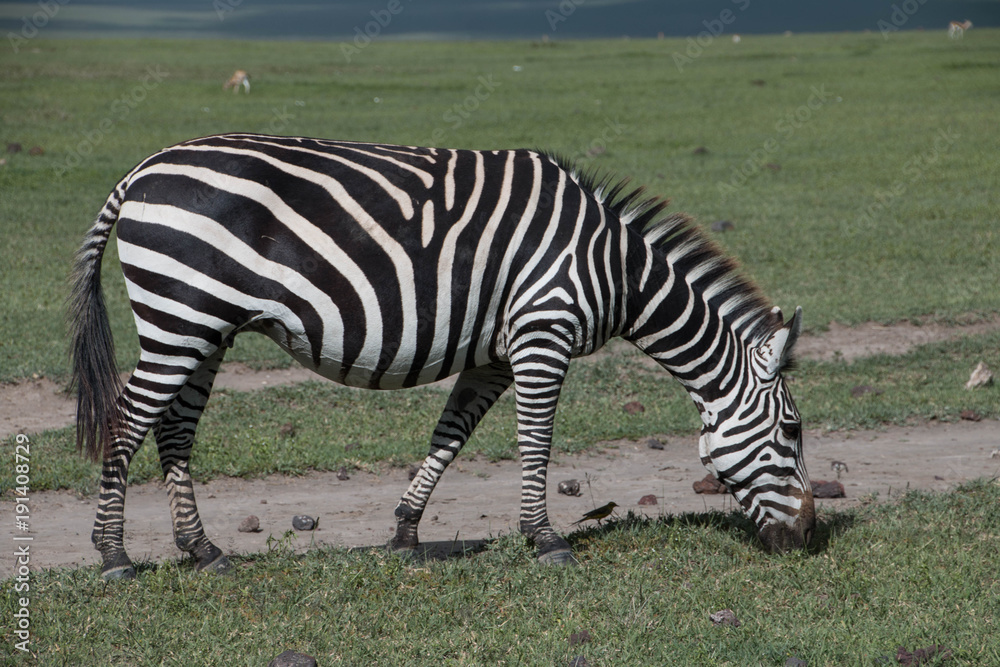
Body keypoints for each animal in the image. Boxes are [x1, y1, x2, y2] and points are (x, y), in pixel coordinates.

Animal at [71, 133, 815, 579]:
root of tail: (141, 169)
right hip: (182, 315)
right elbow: (536, 440)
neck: (616, 269)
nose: (810, 536)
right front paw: (546, 539)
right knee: (130, 417)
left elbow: (451, 434)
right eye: (792, 429)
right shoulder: (542, 332)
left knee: (174, 427)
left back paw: (203, 550)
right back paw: (113, 554)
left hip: (205, 326)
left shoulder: (494, 352)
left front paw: (405, 532)